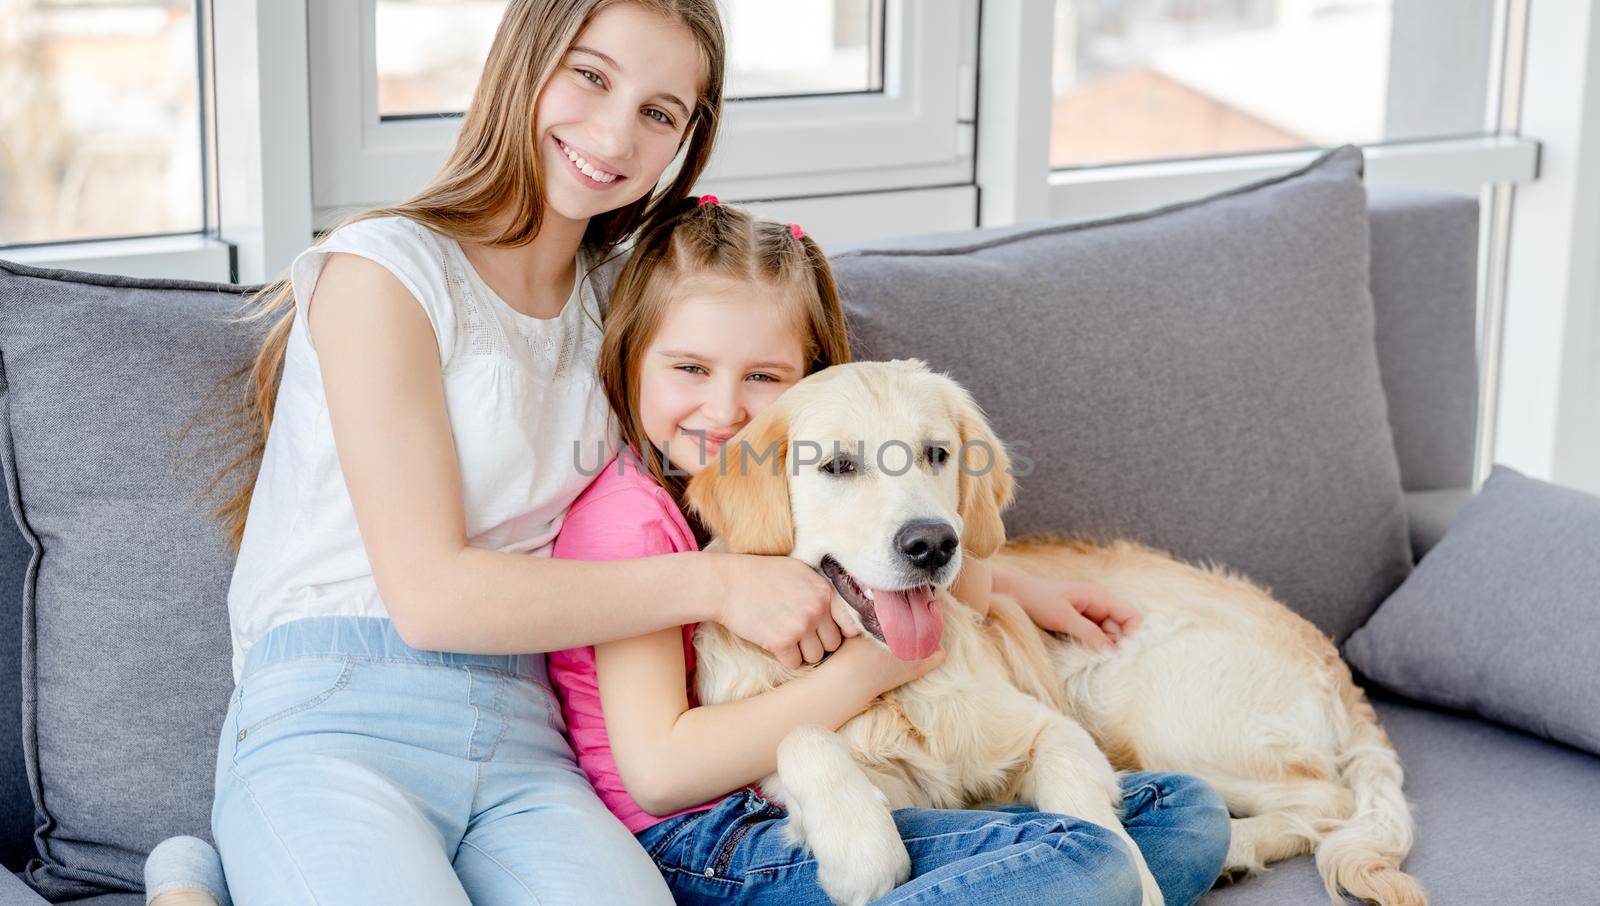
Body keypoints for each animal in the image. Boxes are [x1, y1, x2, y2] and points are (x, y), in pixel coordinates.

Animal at [688, 361, 1427, 906]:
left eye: (936, 454)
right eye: (837, 466)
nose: (933, 544)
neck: (895, 686)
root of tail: (1330, 658)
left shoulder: (1049, 727)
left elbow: (1098, 826)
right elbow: (800, 736)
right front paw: (860, 846)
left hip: (1147, 707)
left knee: (1324, 796)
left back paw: (1236, 849)